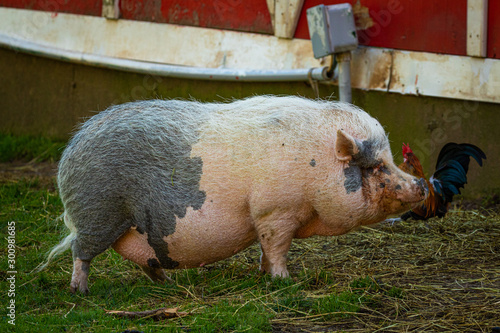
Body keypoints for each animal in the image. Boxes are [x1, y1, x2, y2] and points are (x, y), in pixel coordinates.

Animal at [45, 94, 426, 292]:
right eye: (375, 166)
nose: (423, 184)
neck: (318, 167)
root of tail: (71, 149)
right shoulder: (275, 210)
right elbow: (276, 248)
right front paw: (285, 281)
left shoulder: (270, 217)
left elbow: (265, 249)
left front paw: (262, 274)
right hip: (98, 213)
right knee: (80, 253)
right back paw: (80, 291)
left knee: (146, 259)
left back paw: (167, 284)